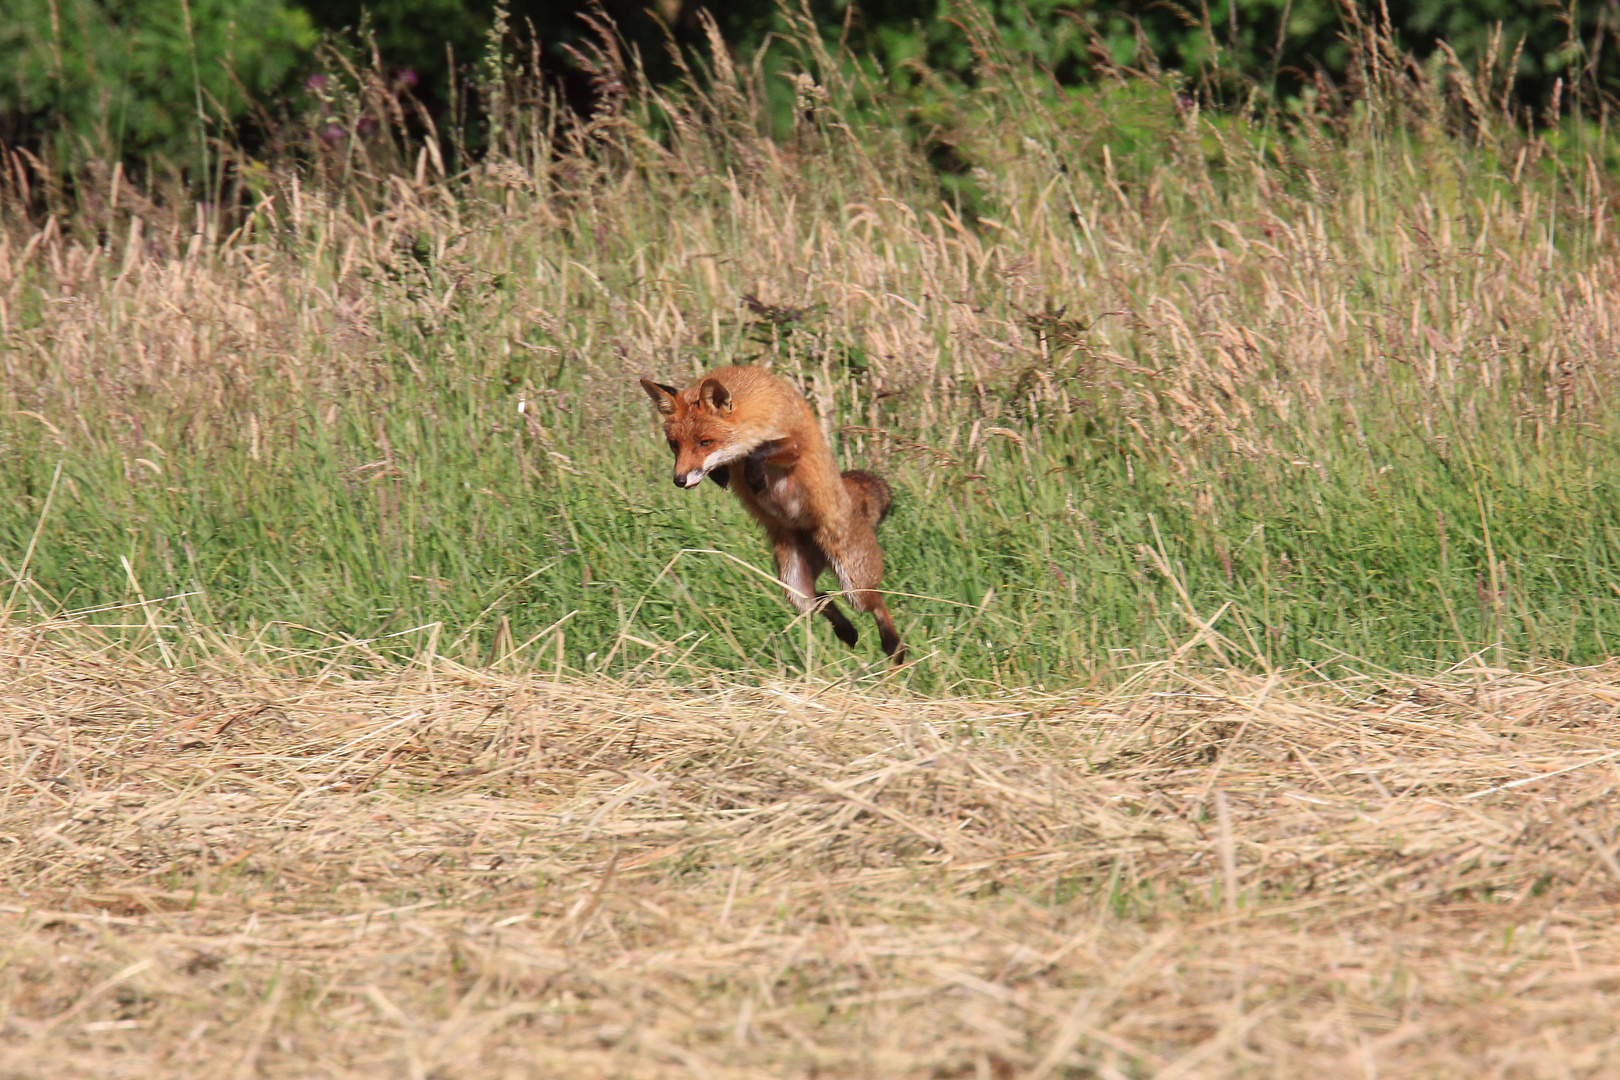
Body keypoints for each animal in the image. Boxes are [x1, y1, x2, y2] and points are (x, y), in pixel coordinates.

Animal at [638, 367, 907, 663]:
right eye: (674, 445)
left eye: (705, 442)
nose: (679, 480)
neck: (758, 405)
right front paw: (722, 474)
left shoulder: (794, 444)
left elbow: (760, 451)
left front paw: (754, 475)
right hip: (794, 586)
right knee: (821, 598)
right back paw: (847, 631)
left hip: (853, 583)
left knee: (876, 602)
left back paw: (894, 648)